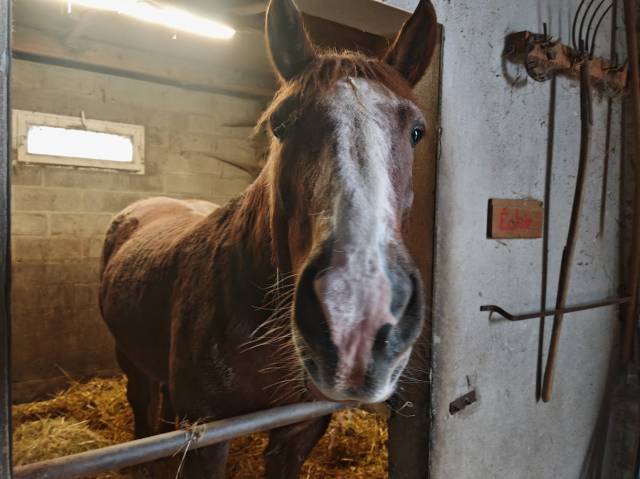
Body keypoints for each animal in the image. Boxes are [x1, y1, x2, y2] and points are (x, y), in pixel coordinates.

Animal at [100, 1, 438, 478]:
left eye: (416, 131)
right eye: (280, 124)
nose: (357, 320)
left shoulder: (299, 430)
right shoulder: (204, 436)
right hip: (130, 359)